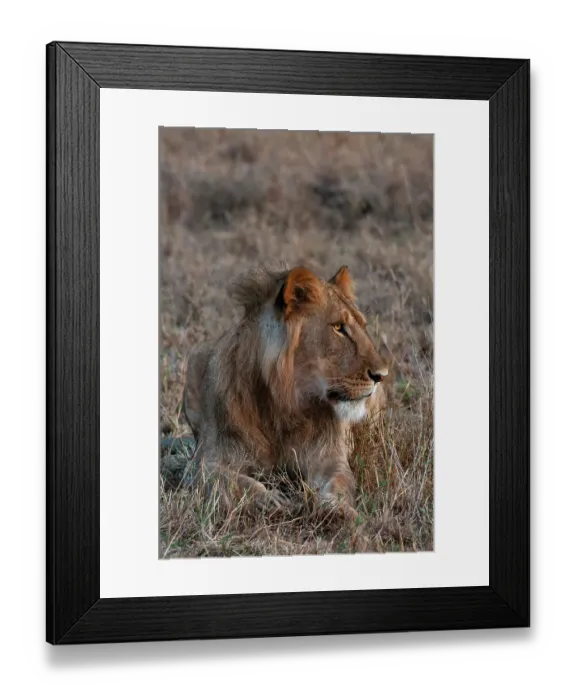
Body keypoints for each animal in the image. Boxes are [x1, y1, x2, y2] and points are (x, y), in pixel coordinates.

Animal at [182, 263, 391, 518]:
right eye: (338, 327)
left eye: (363, 325)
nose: (382, 375)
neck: (282, 405)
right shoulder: (203, 464)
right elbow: (234, 481)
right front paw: (270, 501)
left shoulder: (330, 457)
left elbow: (339, 482)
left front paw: (337, 509)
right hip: (195, 356)